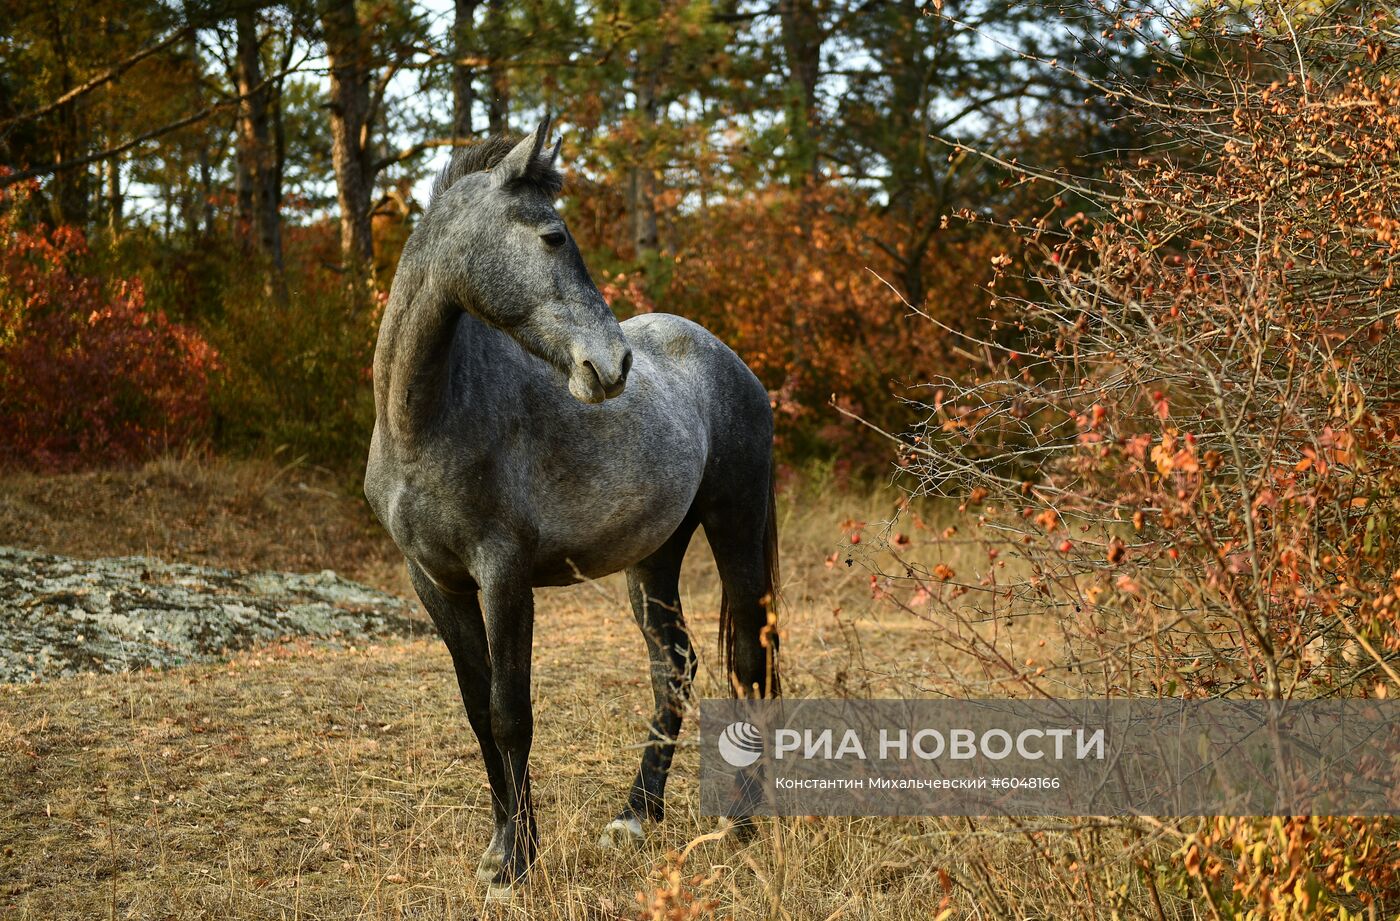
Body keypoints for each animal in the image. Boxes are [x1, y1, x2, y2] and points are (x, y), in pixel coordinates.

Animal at [364, 118, 778, 895]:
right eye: (553, 236)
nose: (611, 366)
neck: (426, 417)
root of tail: (729, 360)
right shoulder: (433, 582)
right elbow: (477, 710)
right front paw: (500, 847)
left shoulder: (504, 577)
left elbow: (510, 714)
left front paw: (517, 862)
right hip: (654, 559)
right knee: (674, 667)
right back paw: (636, 816)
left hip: (736, 528)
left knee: (747, 662)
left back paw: (741, 823)